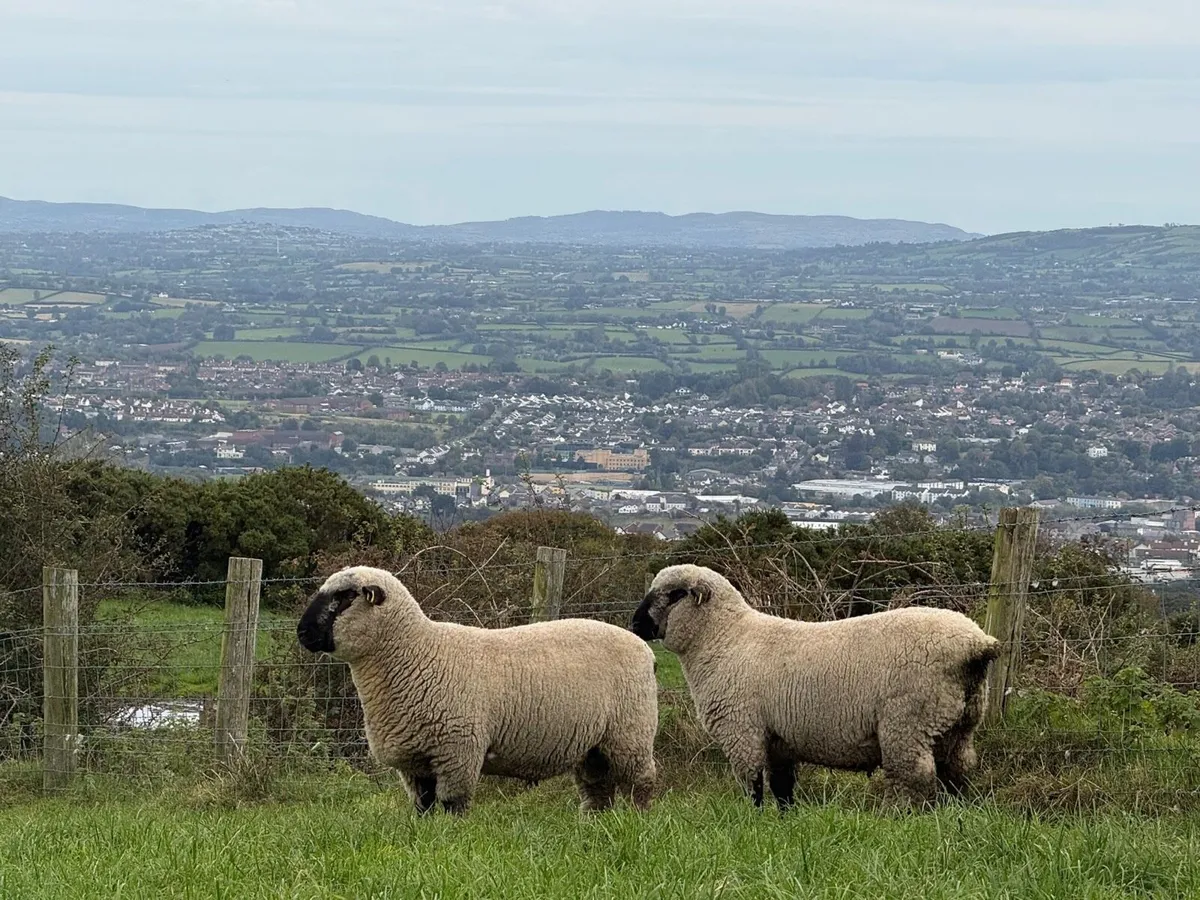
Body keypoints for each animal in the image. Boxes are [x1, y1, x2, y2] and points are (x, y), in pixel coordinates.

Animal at [297, 565, 658, 816]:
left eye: (345, 597)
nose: (302, 633)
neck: (416, 654)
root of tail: (644, 649)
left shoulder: (457, 750)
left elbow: (452, 804)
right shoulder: (415, 763)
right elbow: (423, 807)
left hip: (631, 732)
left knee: (641, 782)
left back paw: (638, 820)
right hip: (594, 745)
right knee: (598, 789)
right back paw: (595, 825)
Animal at [630, 564, 1000, 809]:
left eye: (675, 594)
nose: (635, 624)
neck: (725, 638)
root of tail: (976, 645)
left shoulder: (742, 731)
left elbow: (753, 783)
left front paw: (754, 818)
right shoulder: (779, 740)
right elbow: (782, 786)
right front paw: (784, 818)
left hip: (909, 722)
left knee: (917, 777)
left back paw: (906, 817)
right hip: (959, 722)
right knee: (959, 770)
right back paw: (954, 813)